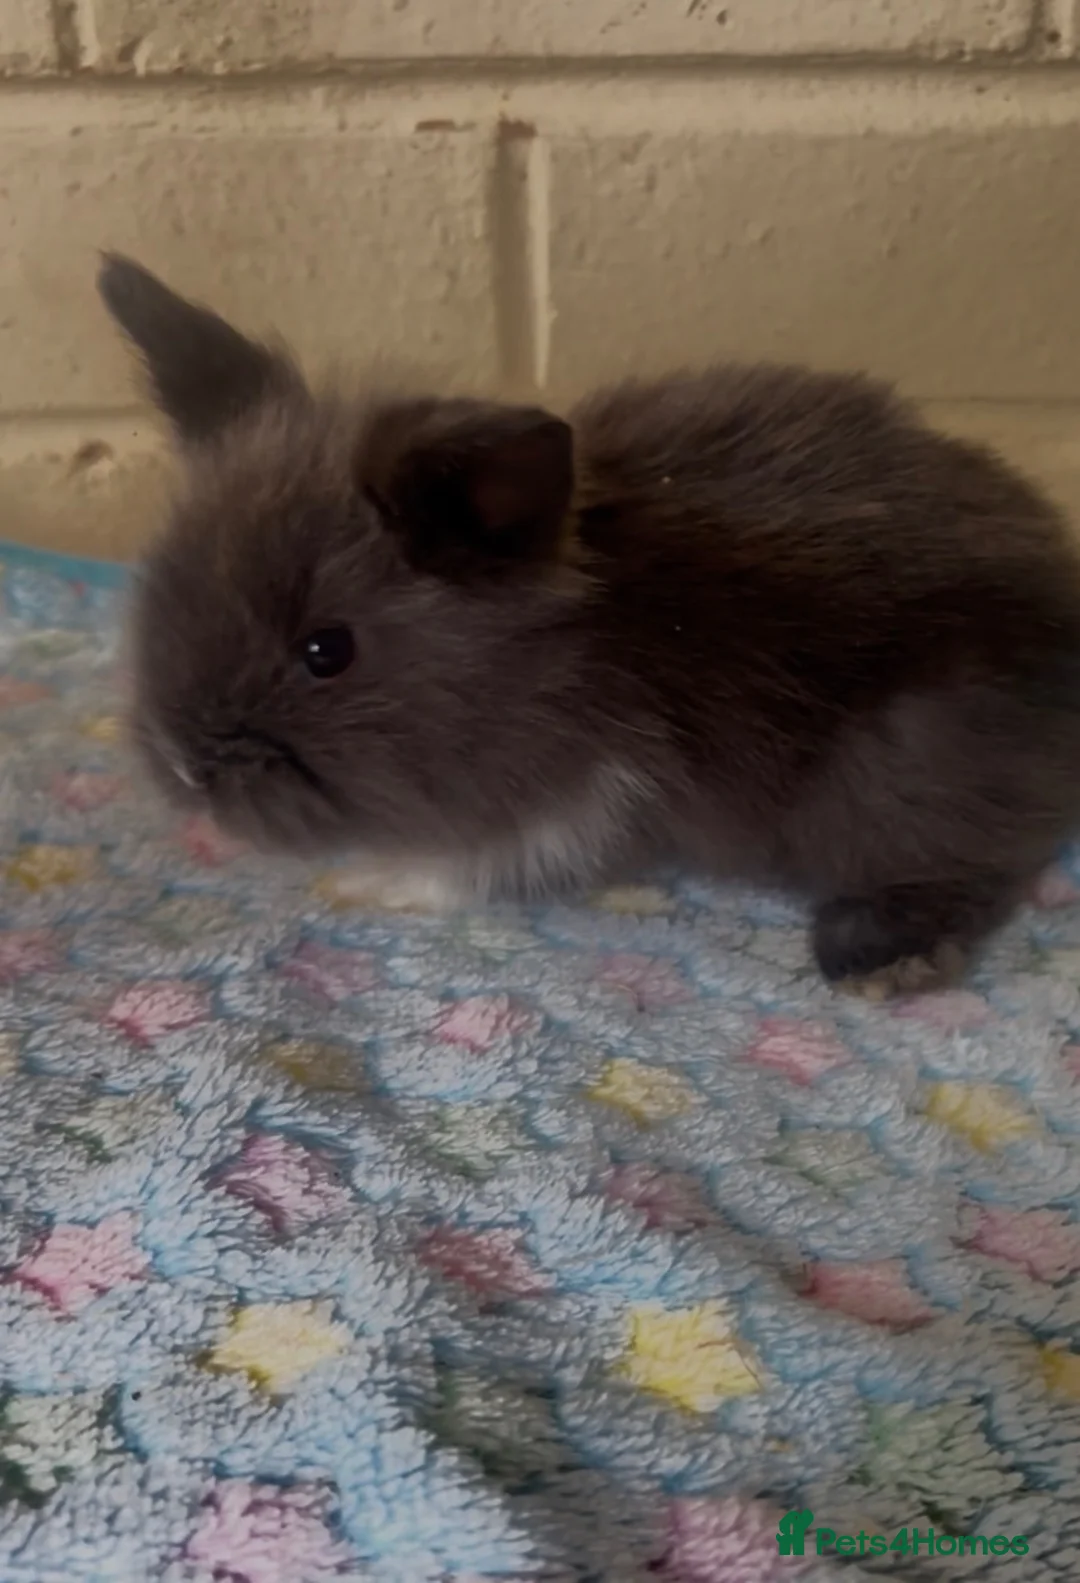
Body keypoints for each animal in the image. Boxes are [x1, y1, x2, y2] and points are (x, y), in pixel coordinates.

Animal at [98, 252, 1080, 995]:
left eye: (325, 651)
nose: (186, 770)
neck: (565, 650)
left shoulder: (586, 793)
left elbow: (485, 860)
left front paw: (372, 880)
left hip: (901, 762)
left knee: (975, 858)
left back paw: (880, 956)